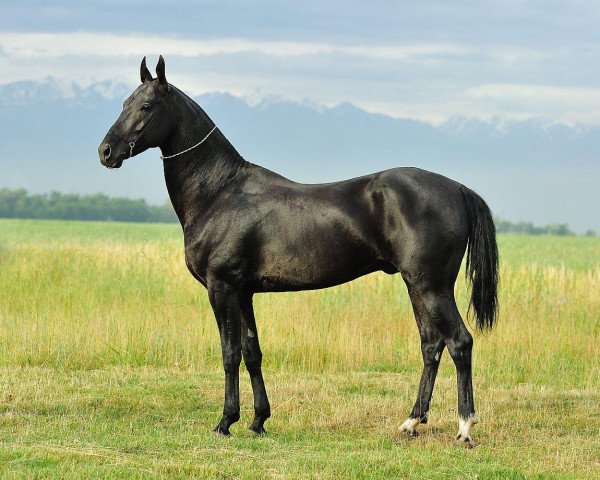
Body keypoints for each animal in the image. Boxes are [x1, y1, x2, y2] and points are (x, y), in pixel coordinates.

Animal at [101, 57, 500, 446]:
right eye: (124, 104)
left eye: (146, 106)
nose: (106, 152)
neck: (220, 192)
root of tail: (457, 188)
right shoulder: (243, 292)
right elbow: (252, 352)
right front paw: (258, 421)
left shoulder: (222, 288)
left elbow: (230, 354)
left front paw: (225, 422)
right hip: (416, 286)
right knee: (431, 346)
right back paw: (411, 423)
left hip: (432, 287)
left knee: (459, 342)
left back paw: (465, 427)